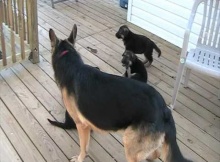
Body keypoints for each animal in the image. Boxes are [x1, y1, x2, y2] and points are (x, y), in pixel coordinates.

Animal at [48, 25, 192, 162]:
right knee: (156, 153)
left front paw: (79, 158)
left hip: (129, 144)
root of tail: (164, 109)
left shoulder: (81, 125)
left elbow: (83, 148)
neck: (71, 64)